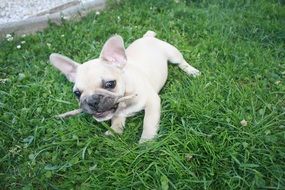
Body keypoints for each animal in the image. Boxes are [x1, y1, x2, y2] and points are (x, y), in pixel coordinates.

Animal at [49, 30, 200, 142]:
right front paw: (115, 130)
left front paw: (146, 142)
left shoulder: (152, 102)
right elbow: (116, 119)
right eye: (77, 93)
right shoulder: (117, 112)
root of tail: (147, 37)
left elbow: (149, 122)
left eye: (110, 84)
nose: (92, 101)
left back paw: (191, 71)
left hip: (172, 53)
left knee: (181, 62)